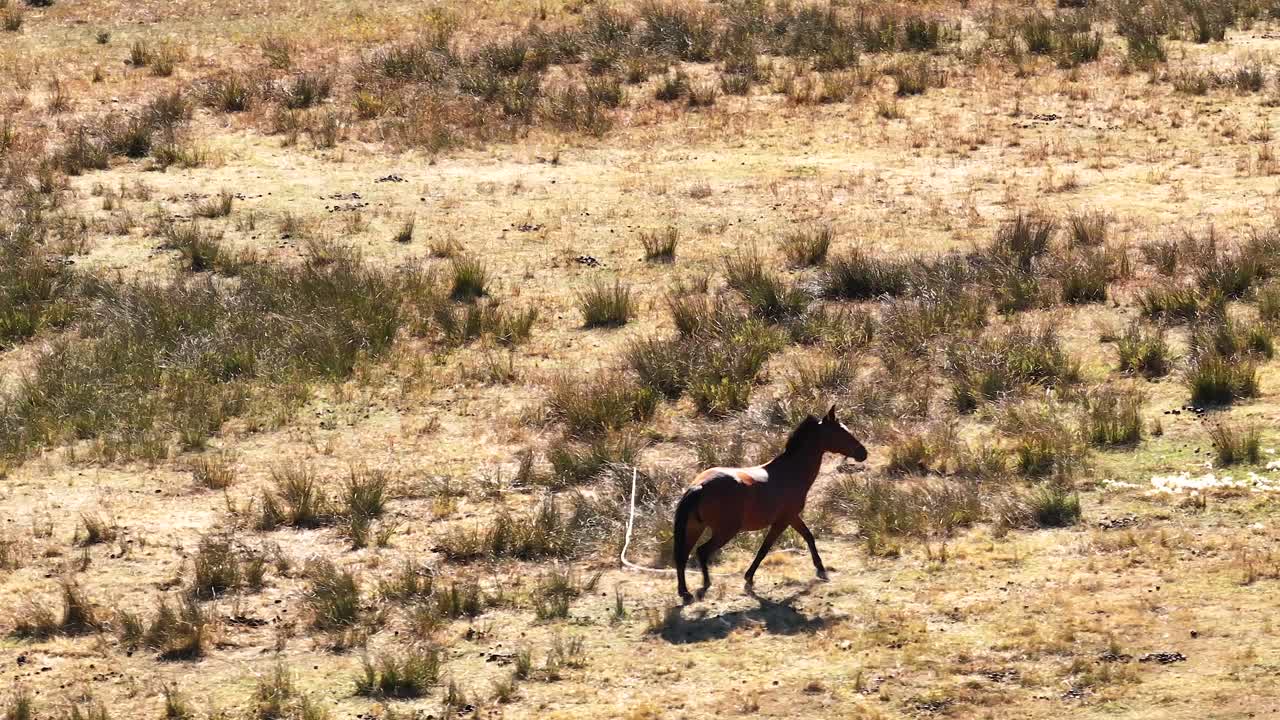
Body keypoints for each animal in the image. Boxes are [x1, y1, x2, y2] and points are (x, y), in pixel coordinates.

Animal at [672, 405, 868, 603]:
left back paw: (685, 593)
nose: (863, 453)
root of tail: (700, 486)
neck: (790, 472)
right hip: (724, 531)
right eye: (841, 433)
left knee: (682, 556)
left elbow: (808, 536)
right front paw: (749, 579)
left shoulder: (792, 518)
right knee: (702, 552)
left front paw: (820, 569)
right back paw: (704, 586)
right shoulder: (783, 521)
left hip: (695, 528)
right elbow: (764, 549)